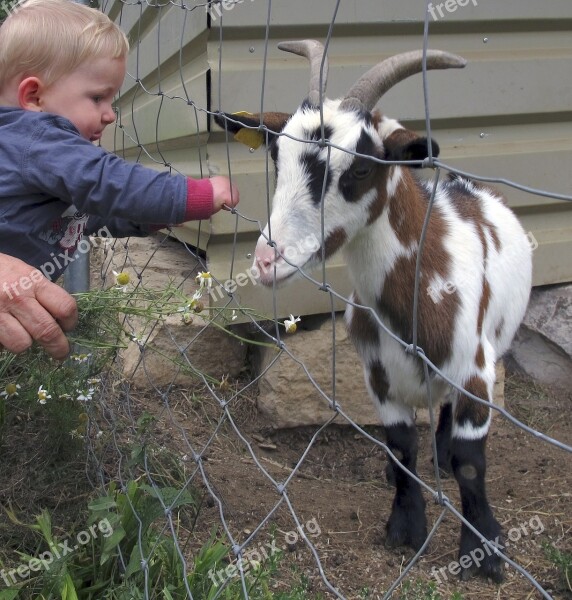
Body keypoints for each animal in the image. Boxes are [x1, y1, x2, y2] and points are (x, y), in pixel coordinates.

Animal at [214, 38, 532, 580]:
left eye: (361, 168)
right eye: (277, 157)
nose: (267, 259)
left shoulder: (476, 372)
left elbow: (472, 461)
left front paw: (484, 550)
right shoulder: (378, 378)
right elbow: (402, 447)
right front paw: (405, 529)